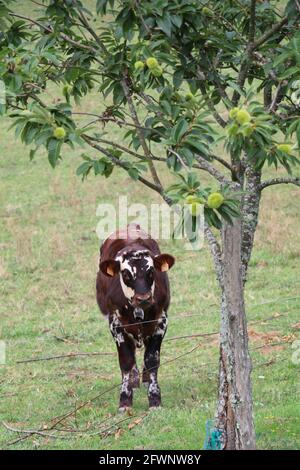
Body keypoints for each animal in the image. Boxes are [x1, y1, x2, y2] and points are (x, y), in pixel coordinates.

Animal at [96, 224, 175, 412]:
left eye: (151, 271)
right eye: (125, 274)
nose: (143, 298)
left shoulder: (161, 320)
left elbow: (152, 359)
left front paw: (154, 399)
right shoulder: (115, 324)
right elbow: (126, 360)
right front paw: (125, 401)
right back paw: (133, 380)